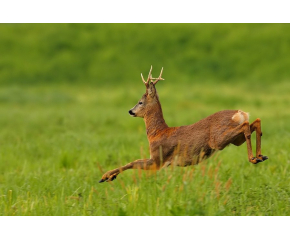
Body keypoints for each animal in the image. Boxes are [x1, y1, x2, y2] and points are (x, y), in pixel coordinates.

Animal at [99, 65, 268, 182]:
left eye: (140, 102)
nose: (130, 111)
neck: (157, 133)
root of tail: (240, 113)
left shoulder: (158, 159)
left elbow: (133, 162)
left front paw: (105, 177)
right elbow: (133, 162)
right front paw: (108, 176)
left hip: (218, 139)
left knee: (247, 126)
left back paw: (254, 158)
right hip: (235, 140)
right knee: (256, 122)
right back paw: (260, 156)